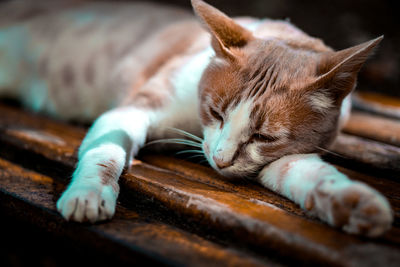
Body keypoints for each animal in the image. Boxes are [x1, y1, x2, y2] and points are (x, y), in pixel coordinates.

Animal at [0, 0, 394, 239]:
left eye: (264, 137)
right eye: (215, 112)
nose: (220, 160)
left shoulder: (282, 157)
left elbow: (309, 174)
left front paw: (355, 204)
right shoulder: (132, 110)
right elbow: (106, 152)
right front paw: (88, 194)